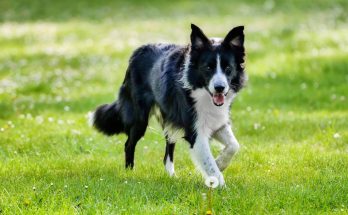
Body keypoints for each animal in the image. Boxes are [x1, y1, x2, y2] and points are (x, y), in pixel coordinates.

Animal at [91, 23, 246, 186]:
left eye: (228, 68)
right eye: (208, 68)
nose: (220, 88)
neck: (202, 92)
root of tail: (138, 51)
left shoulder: (217, 121)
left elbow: (234, 145)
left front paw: (220, 163)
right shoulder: (194, 131)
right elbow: (209, 163)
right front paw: (220, 184)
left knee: (168, 148)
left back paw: (171, 176)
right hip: (139, 118)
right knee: (129, 144)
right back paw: (129, 173)